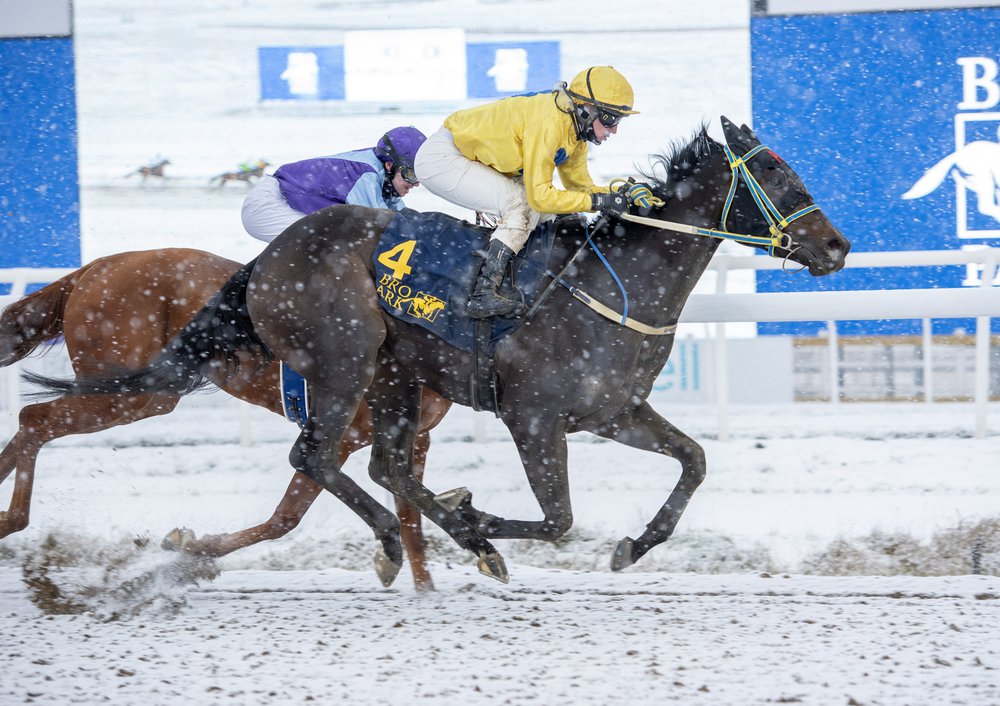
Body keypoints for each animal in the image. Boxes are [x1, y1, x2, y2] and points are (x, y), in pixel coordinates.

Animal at [0, 248, 452, 588]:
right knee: (33, 418)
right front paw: (190, 549)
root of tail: (94, 267)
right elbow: (287, 517)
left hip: (145, 394)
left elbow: (412, 516)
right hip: (124, 392)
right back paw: (11, 518)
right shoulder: (341, 436)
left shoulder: (415, 436)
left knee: (31, 424)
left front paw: (427, 589)